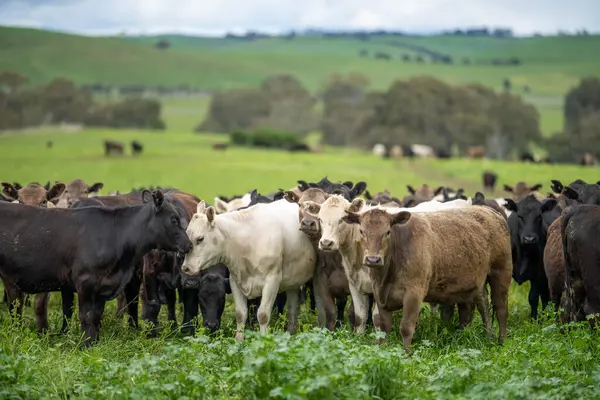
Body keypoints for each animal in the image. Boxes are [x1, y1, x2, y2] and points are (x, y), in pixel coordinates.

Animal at [0, 191, 191, 346]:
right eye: (174, 220)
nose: (189, 245)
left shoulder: (103, 286)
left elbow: (97, 315)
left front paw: (94, 342)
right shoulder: (85, 282)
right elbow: (86, 315)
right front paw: (84, 344)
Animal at [182, 200, 318, 340]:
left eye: (200, 239)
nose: (185, 267)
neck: (245, 243)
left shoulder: (272, 280)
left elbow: (263, 315)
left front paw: (263, 340)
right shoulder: (234, 281)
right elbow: (240, 314)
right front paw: (238, 340)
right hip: (293, 282)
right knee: (293, 307)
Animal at [304, 195, 474, 332]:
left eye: (341, 219)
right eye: (320, 219)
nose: (326, 243)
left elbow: (377, 318)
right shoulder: (355, 285)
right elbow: (360, 317)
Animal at [342, 205, 510, 352]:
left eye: (387, 232)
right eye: (361, 231)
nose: (373, 259)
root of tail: (489, 210)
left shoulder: (414, 293)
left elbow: (406, 327)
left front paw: (406, 353)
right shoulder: (380, 295)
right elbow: (383, 327)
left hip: (500, 273)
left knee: (501, 309)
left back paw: (501, 342)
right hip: (478, 283)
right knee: (484, 306)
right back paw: (489, 337)